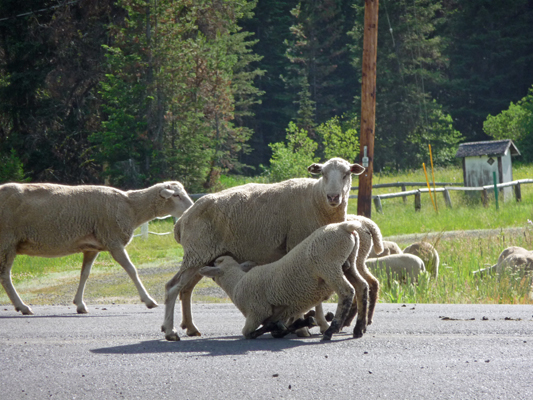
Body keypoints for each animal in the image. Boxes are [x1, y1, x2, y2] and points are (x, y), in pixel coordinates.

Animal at [0, 181, 194, 316]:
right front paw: (148, 300)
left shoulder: (92, 247)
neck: (131, 207)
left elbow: (84, 274)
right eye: (176, 195)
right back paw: (23, 306)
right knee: (5, 275)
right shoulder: (113, 240)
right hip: (7, 240)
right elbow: (131, 269)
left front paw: (80, 304)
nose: (192, 208)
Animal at [198, 220, 362, 340]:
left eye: (216, 263)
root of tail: (345, 226)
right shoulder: (283, 313)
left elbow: (249, 333)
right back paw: (358, 329)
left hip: (328, 265)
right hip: (349, 263)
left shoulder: (256, 313)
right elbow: (283, 328)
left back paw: (332, 330)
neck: (236, 284)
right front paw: (305, 322)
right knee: (362, 287)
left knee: (347, 292)